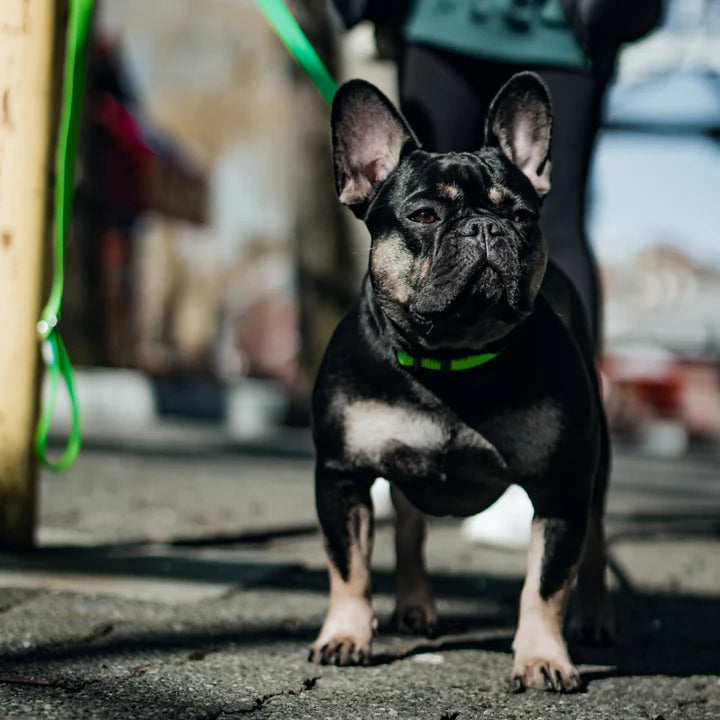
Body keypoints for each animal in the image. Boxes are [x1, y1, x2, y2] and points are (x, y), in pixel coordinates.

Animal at [308, 73, 612, 692]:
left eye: (522, 218)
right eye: (425, 216)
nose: (485, 226)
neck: (450, 358)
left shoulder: (562, 486)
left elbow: (546, 585)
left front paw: (542, 658)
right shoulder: (341, 474)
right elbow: (348, 566)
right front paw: (346, 635)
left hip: (597, 469)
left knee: (594, 544)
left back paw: (594, 617)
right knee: (408, 523)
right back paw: (414, 605)